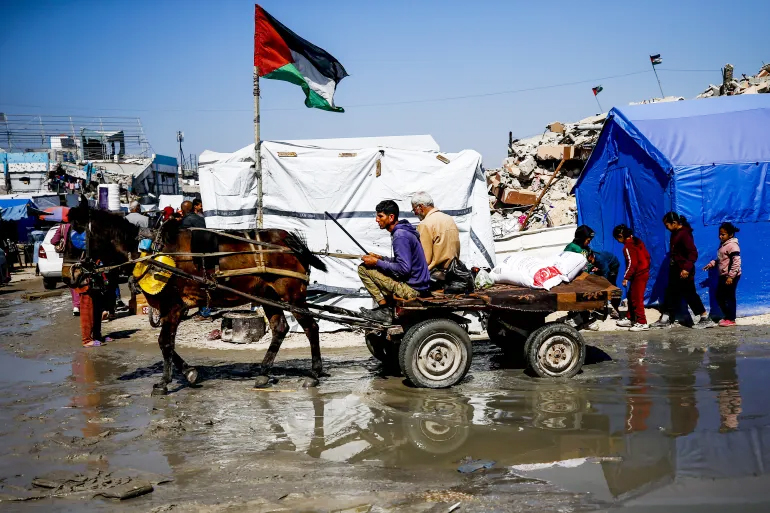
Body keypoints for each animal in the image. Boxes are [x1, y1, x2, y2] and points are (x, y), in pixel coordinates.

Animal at [67, 200, 328, 392]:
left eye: (77, 231)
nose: (73, 275)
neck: (149, 251)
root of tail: (288, 239)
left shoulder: (173, 307)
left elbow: (164, 342)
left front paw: (165, 382)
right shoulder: (170, 308)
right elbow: (166, 343)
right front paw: (189, 373)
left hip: (292, 295)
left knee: (311, 327)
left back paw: (314, 374)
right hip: (268, 295)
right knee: (280, 328)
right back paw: (264, 373)